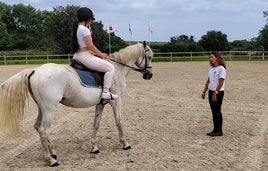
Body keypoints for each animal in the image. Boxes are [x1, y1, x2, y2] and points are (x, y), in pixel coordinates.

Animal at [0, 42, 153, 166]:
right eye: (150, 57)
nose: (149, 75)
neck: (117, 69)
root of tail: (34, 70)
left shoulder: (101, 104)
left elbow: (96, 124)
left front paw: (94, 147)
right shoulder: (116, 101)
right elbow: (119, 121)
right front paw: (125, 144)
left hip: (41, 108)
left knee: (38, 127)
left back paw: (53, 152)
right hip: (50, 109)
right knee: (44, 130)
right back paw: (51, 160)